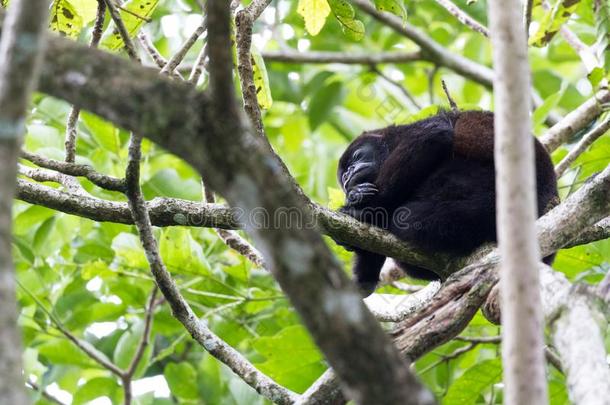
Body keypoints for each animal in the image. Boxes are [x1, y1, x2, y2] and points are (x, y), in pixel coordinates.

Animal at [338, 109, 556, 296]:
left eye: (356, 157)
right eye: (343, 177)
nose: (348, 176)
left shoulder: (409, 132)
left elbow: (434, 134)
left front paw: (367, 208)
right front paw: (364, 278)